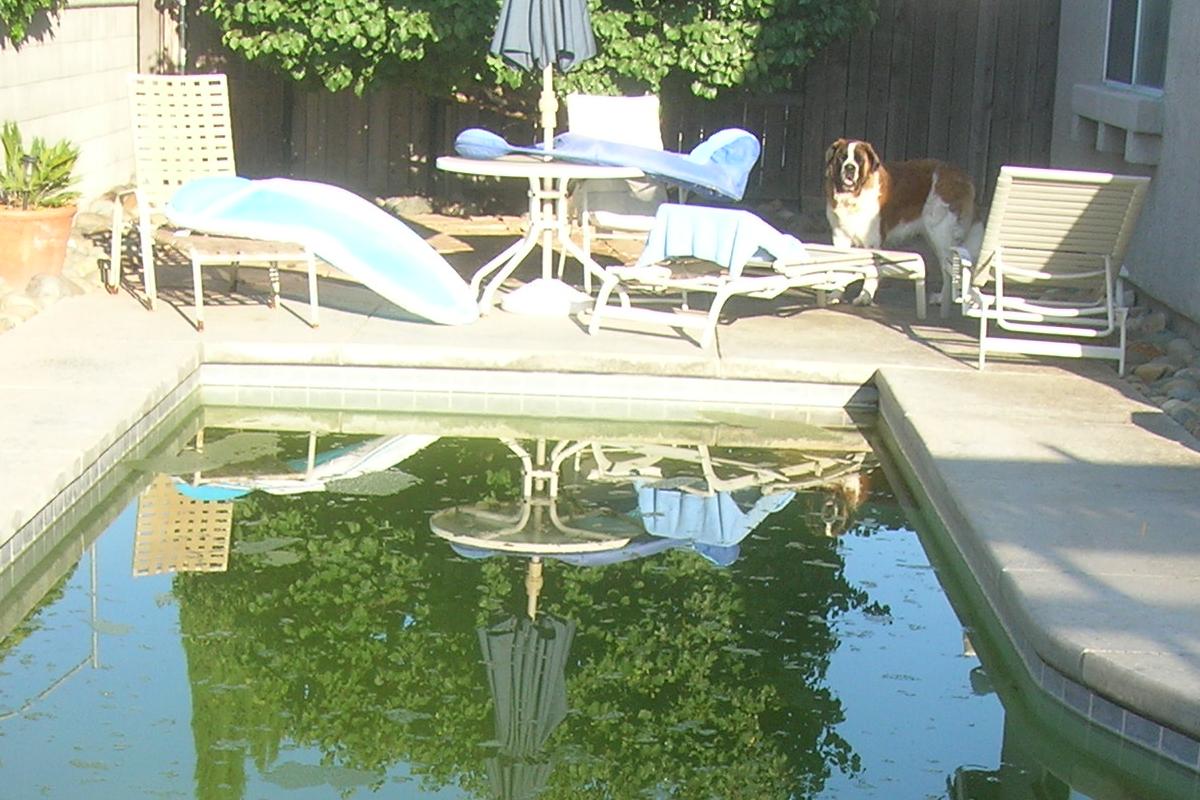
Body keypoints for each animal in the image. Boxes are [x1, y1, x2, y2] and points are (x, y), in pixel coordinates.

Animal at [824, 138, 982, 306]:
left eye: (859, 159)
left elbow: (871, 271)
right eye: (842, 157)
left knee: (950, 269)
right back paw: (941, 298)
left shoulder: (872, 241)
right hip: (935, 237)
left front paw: (865, 297)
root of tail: (962, 176)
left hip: (941, 234)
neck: (854, 196)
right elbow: (840, 267)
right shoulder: (840, 238)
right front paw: (836, 294)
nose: (850, 167)